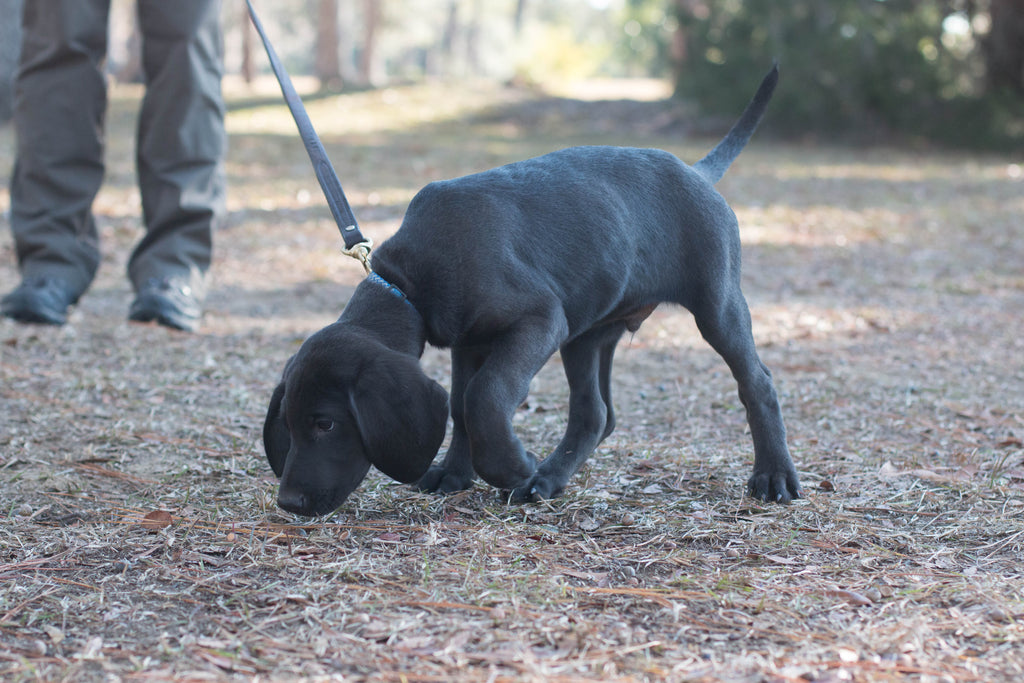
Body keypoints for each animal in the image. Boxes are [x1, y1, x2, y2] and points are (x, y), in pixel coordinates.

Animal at [264, 68, 798, 518]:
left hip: (715, 305)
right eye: (287, 423)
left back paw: (773, 476)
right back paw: (550, 479)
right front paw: (456, 474)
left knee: (758, 382)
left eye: (326, 424)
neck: (408, 282)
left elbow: (484, 396)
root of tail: (696, 171)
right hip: (589, 332)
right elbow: (460, 406)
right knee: (595, 415)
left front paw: (510, 466)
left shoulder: (539, 320)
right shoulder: (469, 343)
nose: (288, 503)